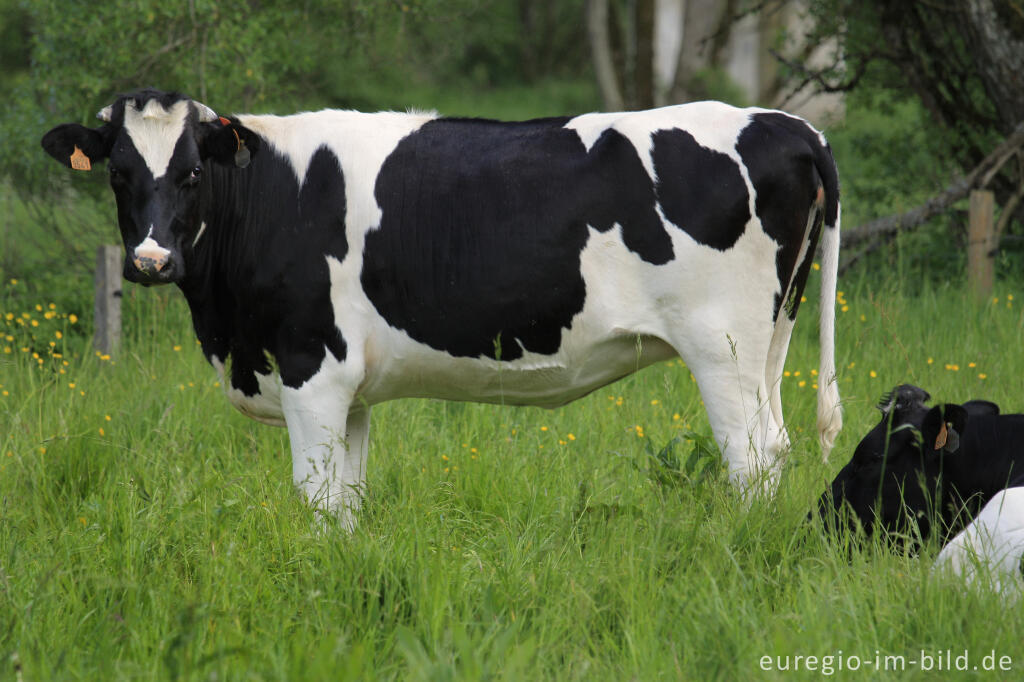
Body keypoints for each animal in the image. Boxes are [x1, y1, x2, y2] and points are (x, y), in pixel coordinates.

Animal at [41, 89, 839, 524]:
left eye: (192, 171)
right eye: (117, 173)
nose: (150, 260)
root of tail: (789, 123)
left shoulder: (311, 367)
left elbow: (316, 499)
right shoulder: (351, 390)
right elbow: (347, 504)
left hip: (721, 346)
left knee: (752, 459)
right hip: (772, 337)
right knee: (778, 445)